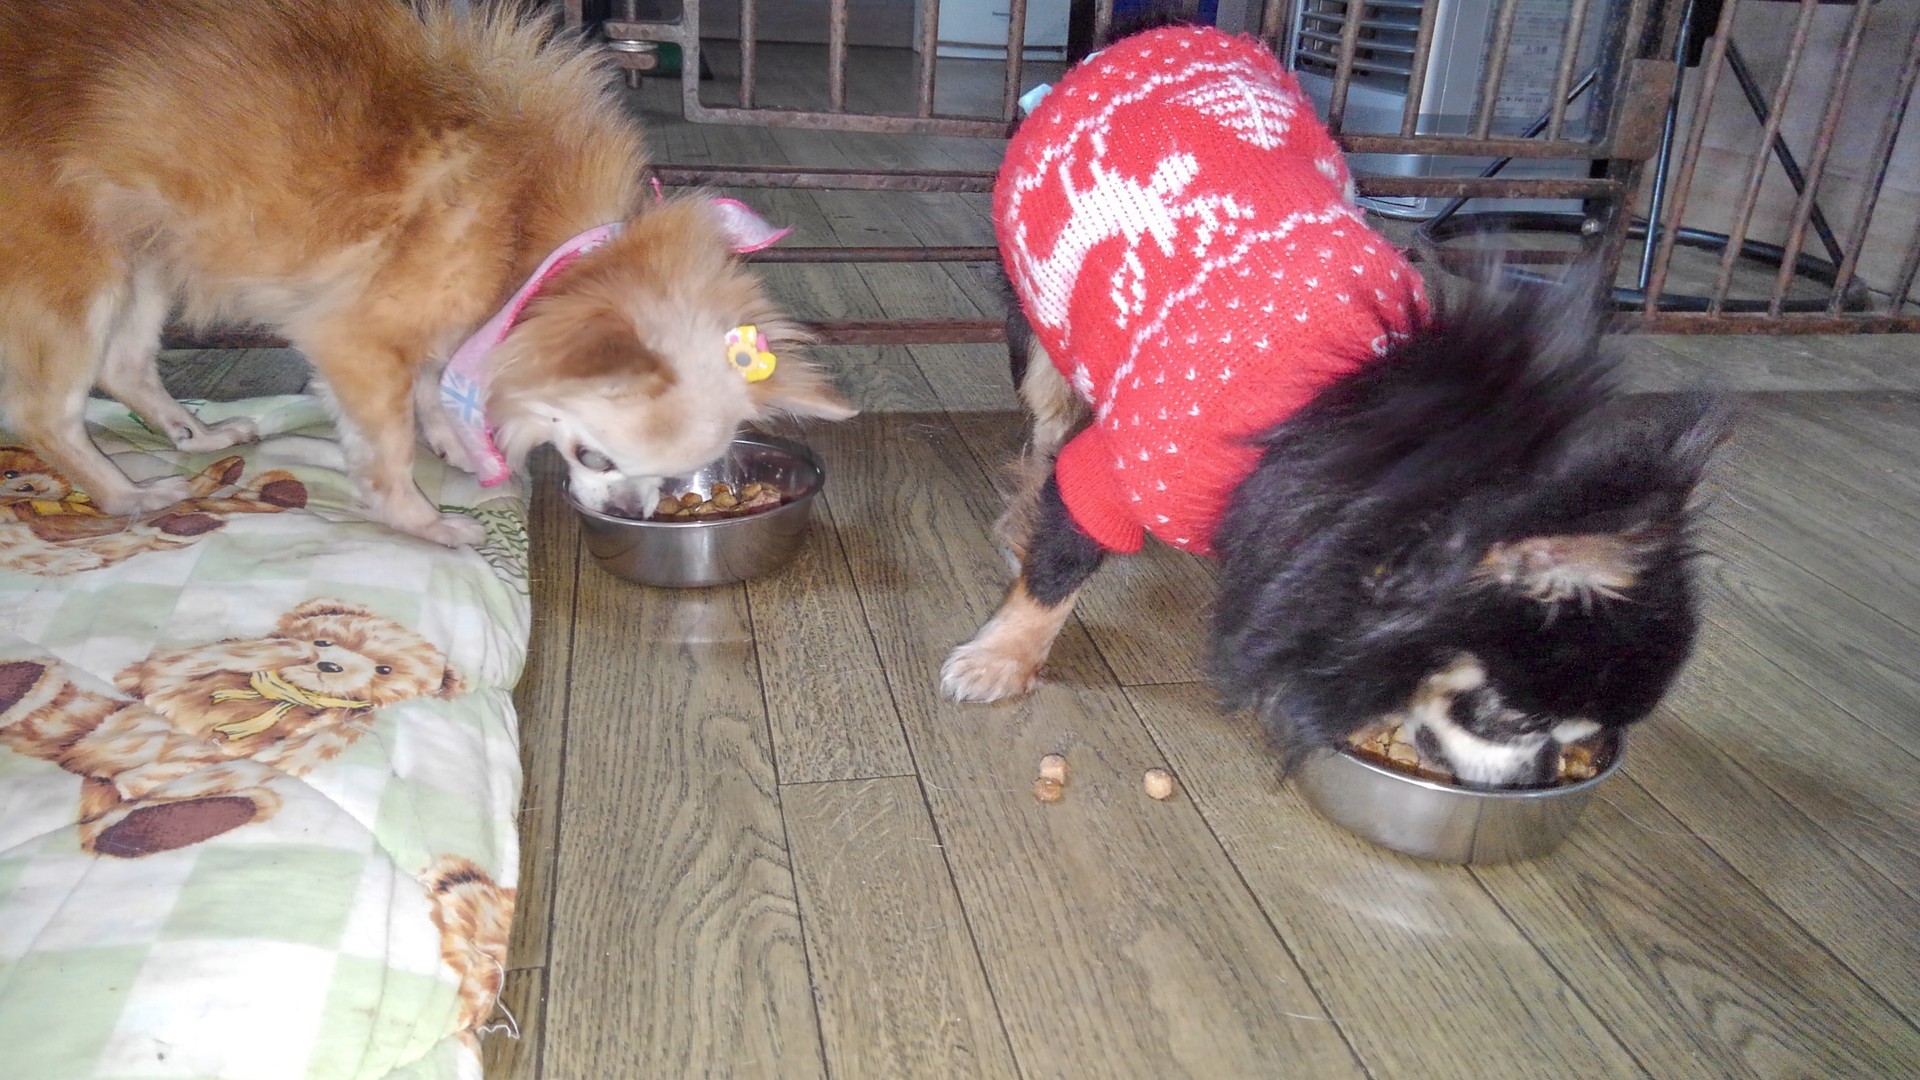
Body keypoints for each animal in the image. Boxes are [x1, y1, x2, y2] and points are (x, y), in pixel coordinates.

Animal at [0, 0, 853, 547]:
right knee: (47, 415)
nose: (637, 511)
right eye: (594, 460)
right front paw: (426, 523)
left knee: (124, 364)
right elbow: (383, 450)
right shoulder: (356, 341)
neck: (529, 229)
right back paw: (129, 494)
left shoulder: (451, 330)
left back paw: (197, 433)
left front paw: (451, 440)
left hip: (145, 254)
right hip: (80, 277)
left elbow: (432, 386)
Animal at [940, 24, 1725, 788]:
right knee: (1047, 424)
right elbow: (1060, 566)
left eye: (1577, 734)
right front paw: (1004, 657)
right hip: (1039, 322)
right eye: (1520, 719)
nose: (1539, 775)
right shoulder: (1121, 471)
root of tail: (1141, 39)